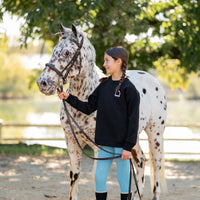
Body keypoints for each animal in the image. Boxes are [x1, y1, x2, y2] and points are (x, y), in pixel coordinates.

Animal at [37, 23, 167, 200]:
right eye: (53, 50)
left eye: (67, 52)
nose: (42, 83)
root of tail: (155, 82)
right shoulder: (71, 142)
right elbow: (74, 175)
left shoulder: (98, 146)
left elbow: (96, 176)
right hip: (132, 139)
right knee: (140, 162)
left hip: (155, 134)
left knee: (156, 166)